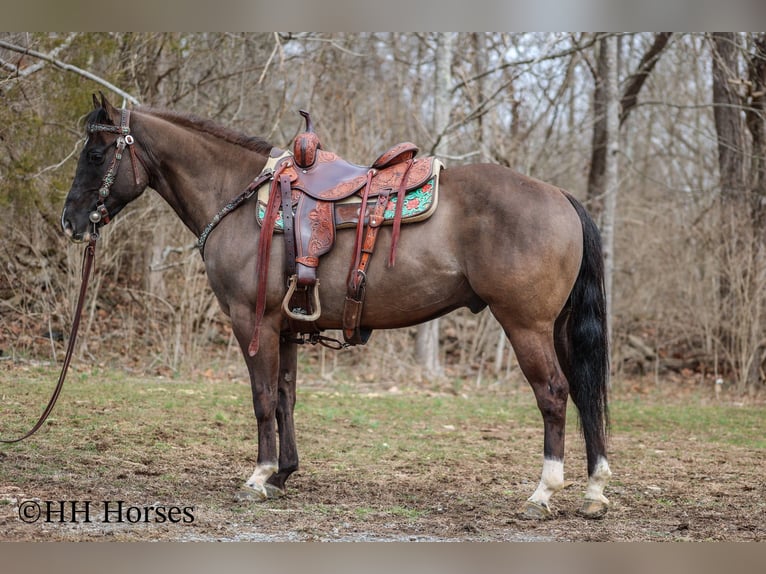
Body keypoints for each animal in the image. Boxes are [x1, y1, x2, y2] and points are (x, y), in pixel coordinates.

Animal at [61, 94, 612, 519]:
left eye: (97, 153)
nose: (70, 221)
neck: (240, 198)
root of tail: (560, 196)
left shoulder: (252, 321)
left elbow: (262, 397)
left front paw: (258, 477)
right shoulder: (284, 326)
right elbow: (285, 397)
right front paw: (282, 474)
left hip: (527, 325)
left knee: (554, 393)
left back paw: (543, 492)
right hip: (557, 327)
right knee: (585, 393)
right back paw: (594, 491)